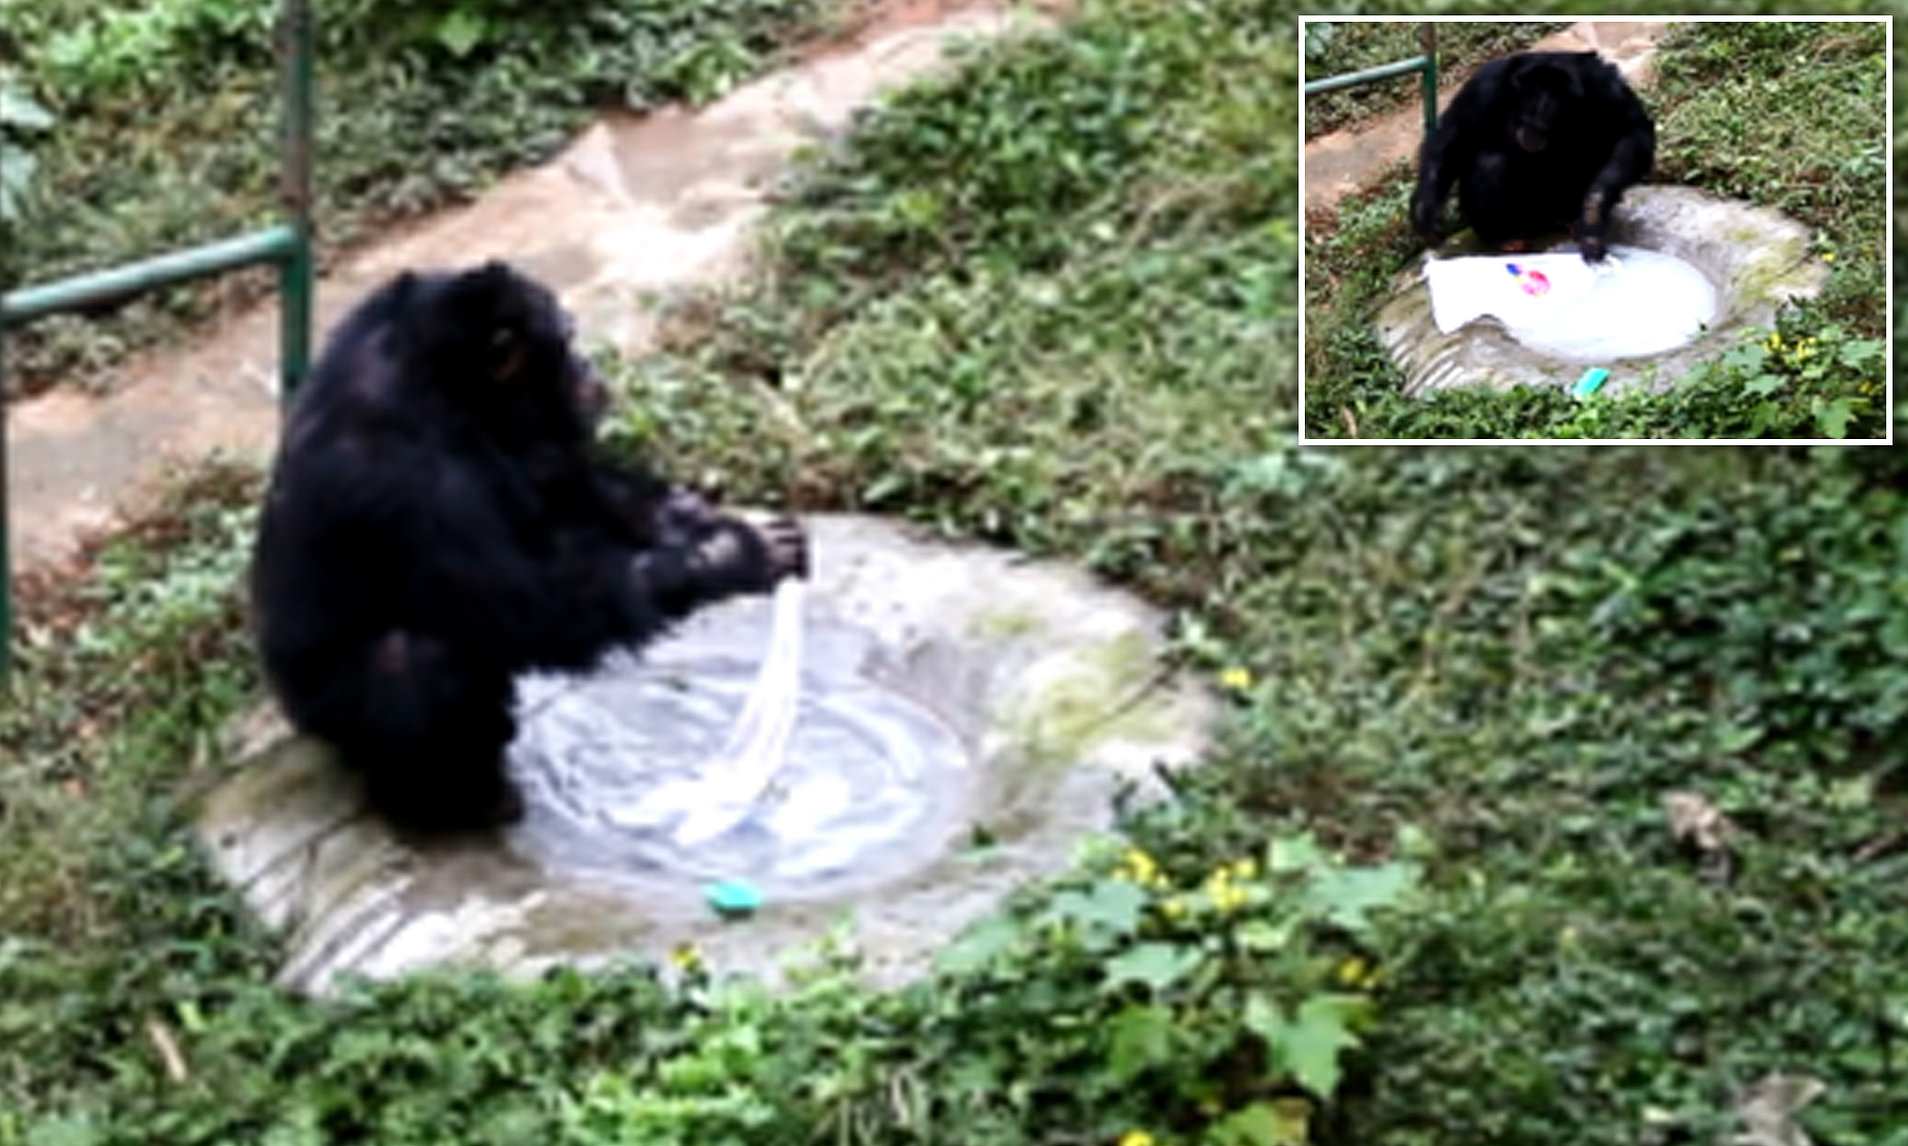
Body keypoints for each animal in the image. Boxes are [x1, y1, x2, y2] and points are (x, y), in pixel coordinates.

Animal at [251, 259, 805, 831]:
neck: (445, 386)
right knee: (410, 659)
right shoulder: (413, 478)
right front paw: (729, 557)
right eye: (567, 338)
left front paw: (693, 517)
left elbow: (560, 493)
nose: (586, 363)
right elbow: (522, 602)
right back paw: (444, 802)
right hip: (326, 715)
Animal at [1404, 49, 1656, 261]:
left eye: (1545, 124)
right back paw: (1502, 236)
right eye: (1526, 117)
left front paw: (1592, 213)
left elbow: (1633, 132)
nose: (1532, 133)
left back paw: (1571, 217)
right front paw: (1425, 211)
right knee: (1490, 163)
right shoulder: (1485, 85)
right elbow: (1454, 136)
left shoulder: (1606, 86)